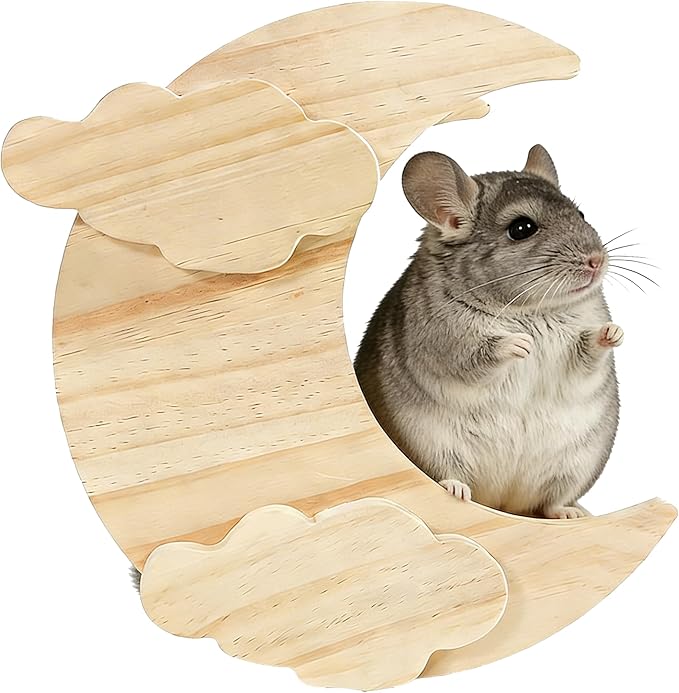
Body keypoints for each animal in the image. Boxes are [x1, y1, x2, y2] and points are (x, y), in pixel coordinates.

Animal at [354, 146, 621, 519]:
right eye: (522, 228)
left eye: (580, 213)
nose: (597, 260)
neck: (531, 310)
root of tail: (501, 502)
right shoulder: (441, 341)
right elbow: (475, 356)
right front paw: (520, 344)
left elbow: (587, 357)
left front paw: (613, 333)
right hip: (433, 447)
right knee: (447, 475)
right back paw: (457, 489)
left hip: (577, 464)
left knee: (552, 502)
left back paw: (571, 513)